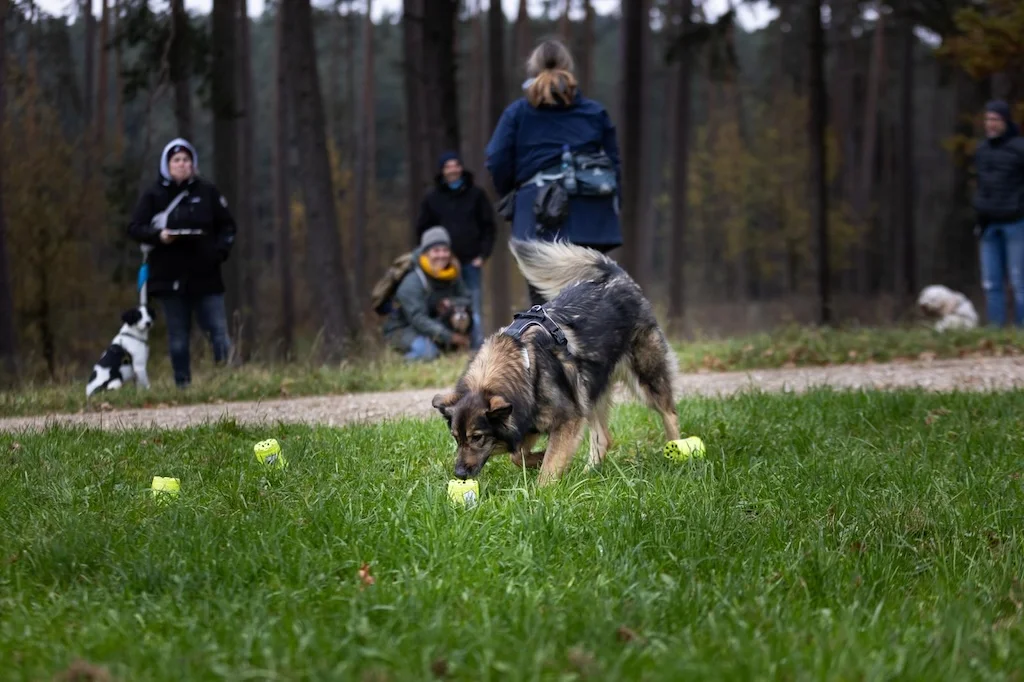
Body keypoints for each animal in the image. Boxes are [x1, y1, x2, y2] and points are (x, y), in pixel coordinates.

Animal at [430, 238, 679, 483]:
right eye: (456, 438)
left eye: (477, 437)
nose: (459, 474)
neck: (525, 366)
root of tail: (618, 277)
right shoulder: (529, 422)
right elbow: (517, 456)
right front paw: (539, 458)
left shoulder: (567, 420)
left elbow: (548, 467)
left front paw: (543, 487)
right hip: (587, 392)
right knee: (603, 438)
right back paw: (588, 474)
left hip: (645, 378)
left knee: (669, 413)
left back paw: (677, 454)